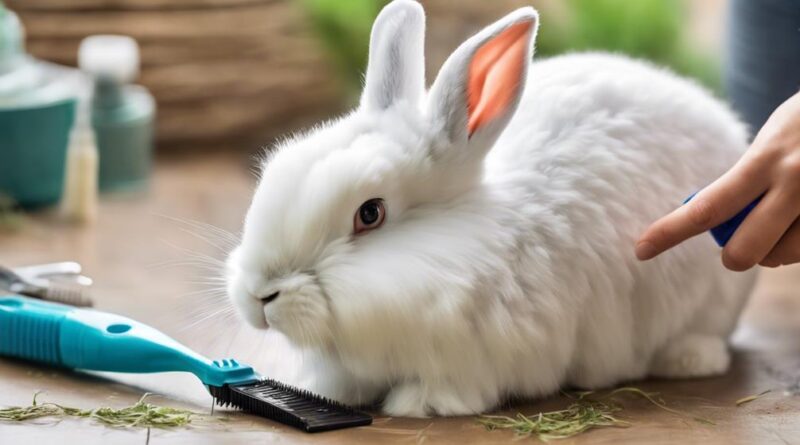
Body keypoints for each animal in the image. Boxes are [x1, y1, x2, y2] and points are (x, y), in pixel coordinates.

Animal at [225, 0, 756, 416]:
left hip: (709, 302)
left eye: (370, 213)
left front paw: (417, 405)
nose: (259, 295)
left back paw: (688, 360)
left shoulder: (474, 359)